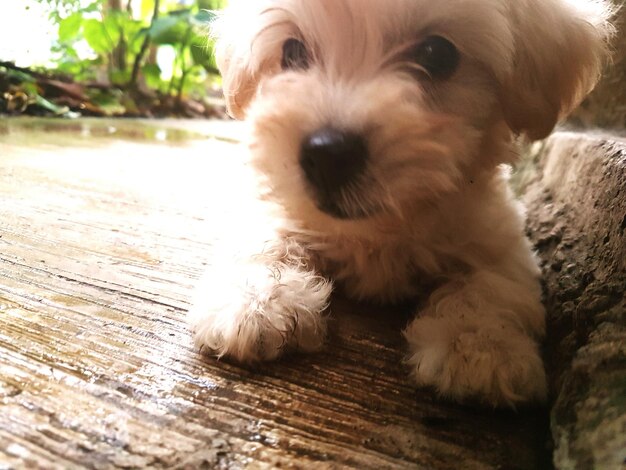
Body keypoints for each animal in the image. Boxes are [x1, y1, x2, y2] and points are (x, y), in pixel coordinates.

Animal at [189, 0, 608, 408]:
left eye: (438, 54)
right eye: (292, 52)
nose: (327, 154)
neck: (381, 229)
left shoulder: (497, 234)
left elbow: (493, 281)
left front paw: (479, 342)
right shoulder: (278, 206)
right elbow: (264, 237)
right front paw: (257, 300)